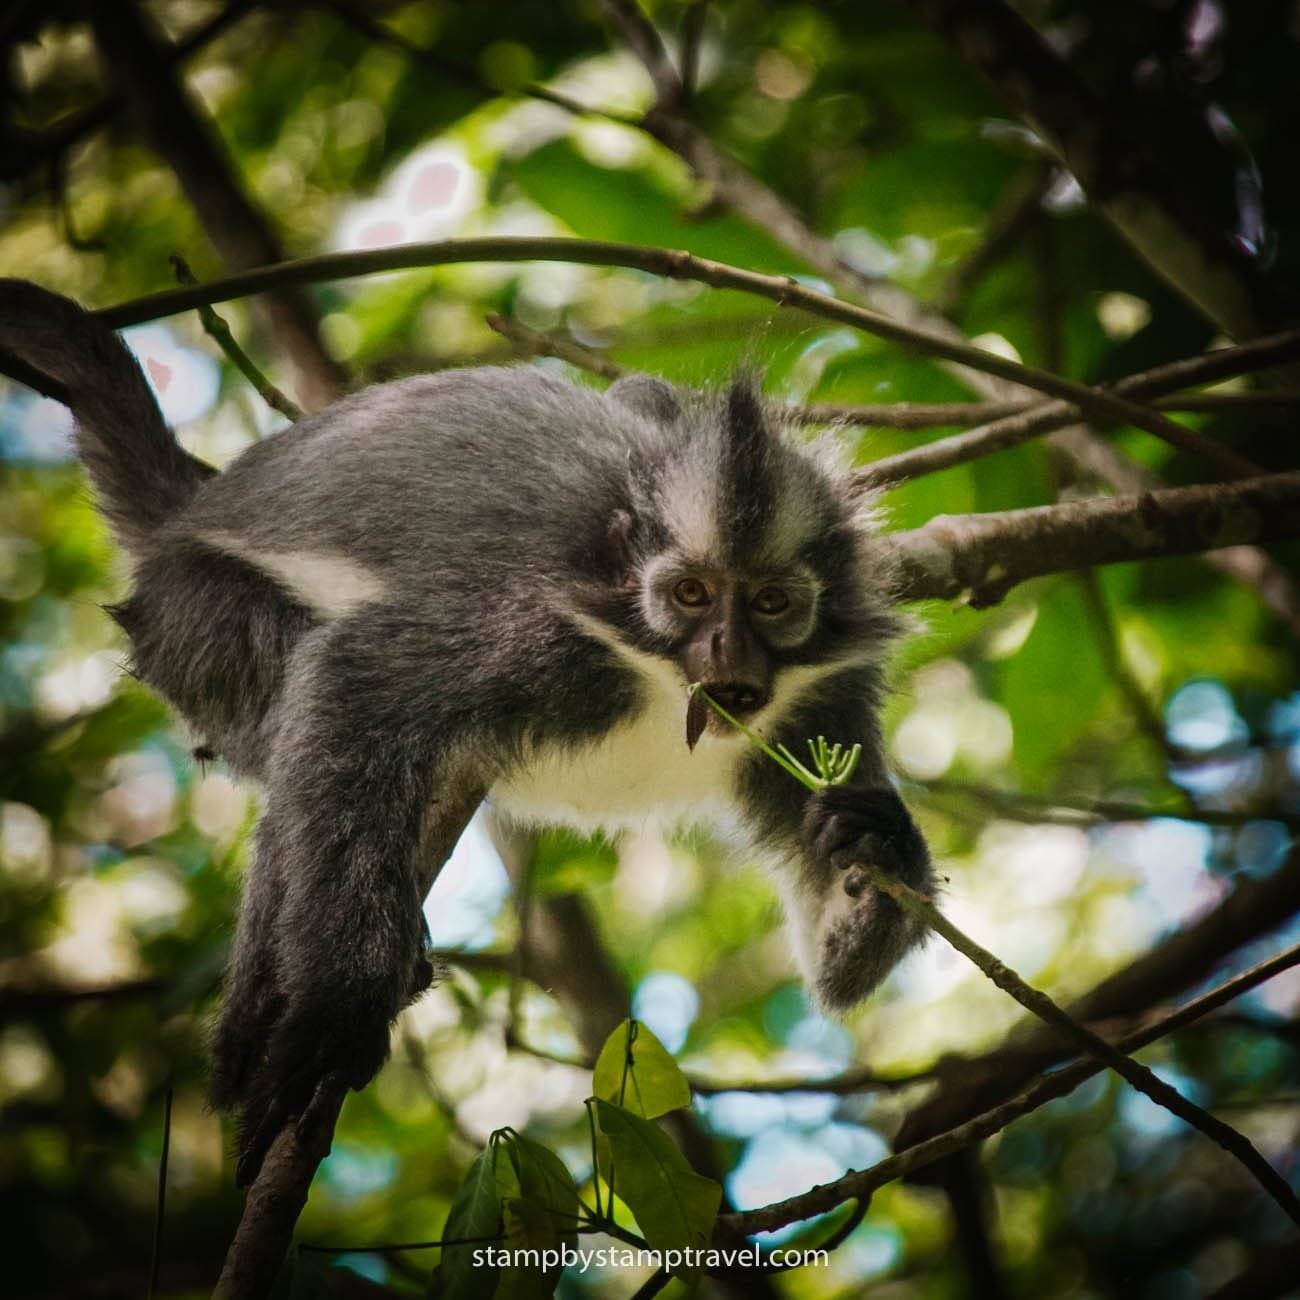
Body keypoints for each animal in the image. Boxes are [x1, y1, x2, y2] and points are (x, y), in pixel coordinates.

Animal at [0, 279, 933, 1184]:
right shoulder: (532, 631)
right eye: (692, 596)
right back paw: (256, 1036)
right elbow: (353, 676)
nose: (727, 655)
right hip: (193, 617)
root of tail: (183, 520)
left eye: (772, 603)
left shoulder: (822, 701)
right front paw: (337, 1007)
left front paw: (876, 844)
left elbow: (834, 962)